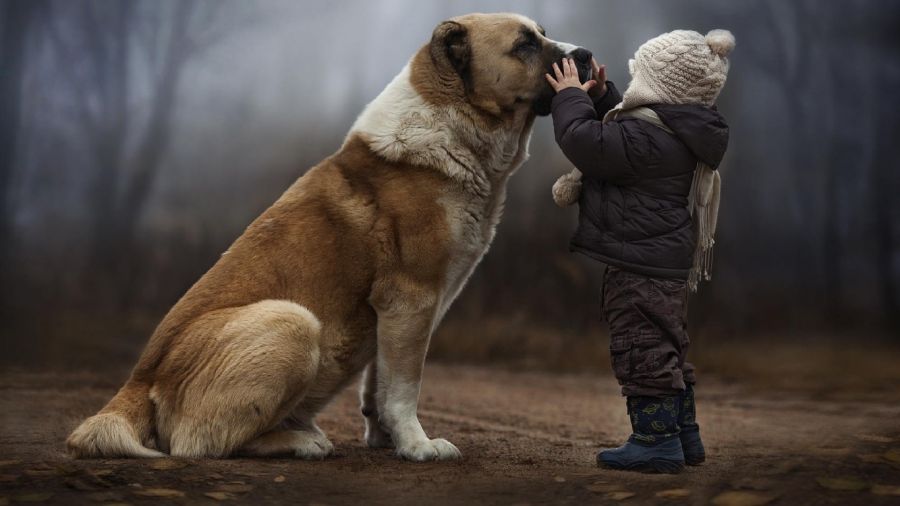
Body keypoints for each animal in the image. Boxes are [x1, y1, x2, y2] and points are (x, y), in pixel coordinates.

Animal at [68, 12, 592, 462]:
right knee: (200, 443)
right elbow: (405, 386)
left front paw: (387, 439)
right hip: (293, 322)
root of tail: (137, 382)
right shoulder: (412, 298)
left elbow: (380, 382)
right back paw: (302, 441)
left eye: (543, 34)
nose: (585, 55)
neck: (452, 126)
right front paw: (418, 446)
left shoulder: (397, 313)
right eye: (524, 45)